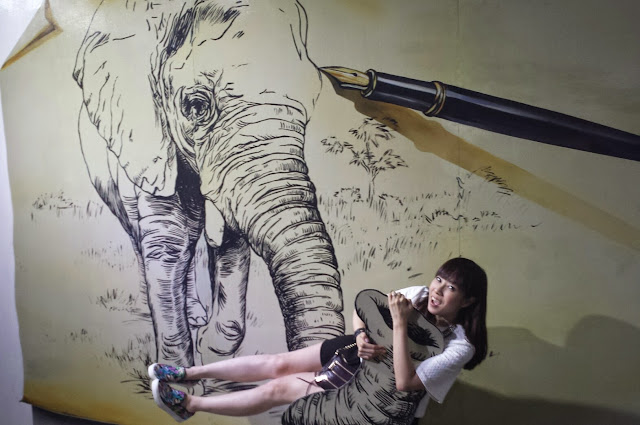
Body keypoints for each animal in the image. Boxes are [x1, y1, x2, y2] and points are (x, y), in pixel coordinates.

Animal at [72, 0, 345, 367]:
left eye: (313, 99)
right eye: (196, 106)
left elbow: (229, 240)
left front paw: (215, 351)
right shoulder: (147, 142)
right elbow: (169, 240)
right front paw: (177, 371)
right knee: (147, 236)